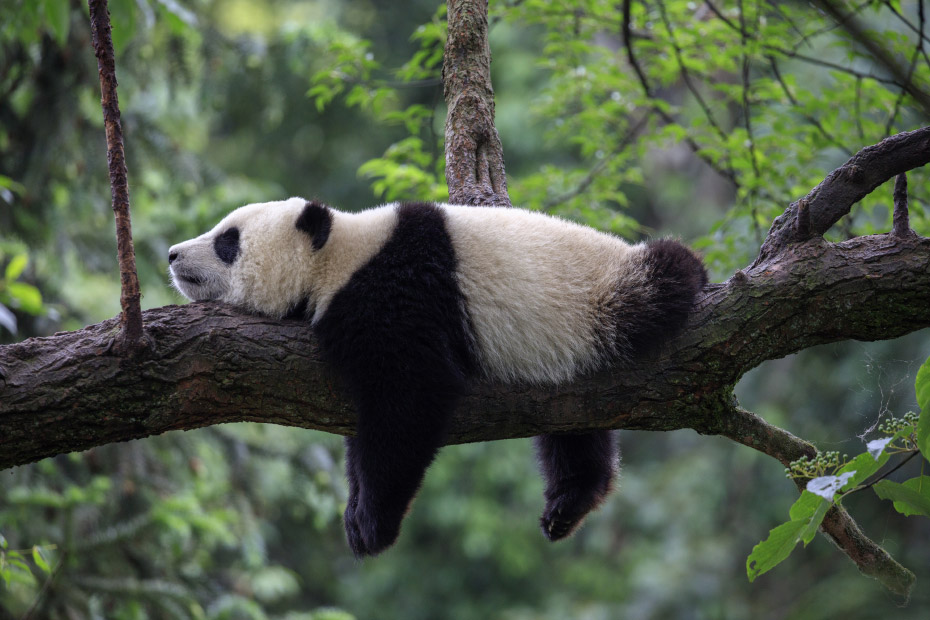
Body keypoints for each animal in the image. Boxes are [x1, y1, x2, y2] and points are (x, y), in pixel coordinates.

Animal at [168, 197, 707, 557]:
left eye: (227, 241)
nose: (173, 254)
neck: (340, 255)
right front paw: (355, 509)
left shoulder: (398, 293)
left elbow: (410, 399)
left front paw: (371, 524)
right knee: (574, 428)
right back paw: (568, 503)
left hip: (603, 299)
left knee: (663, 277)